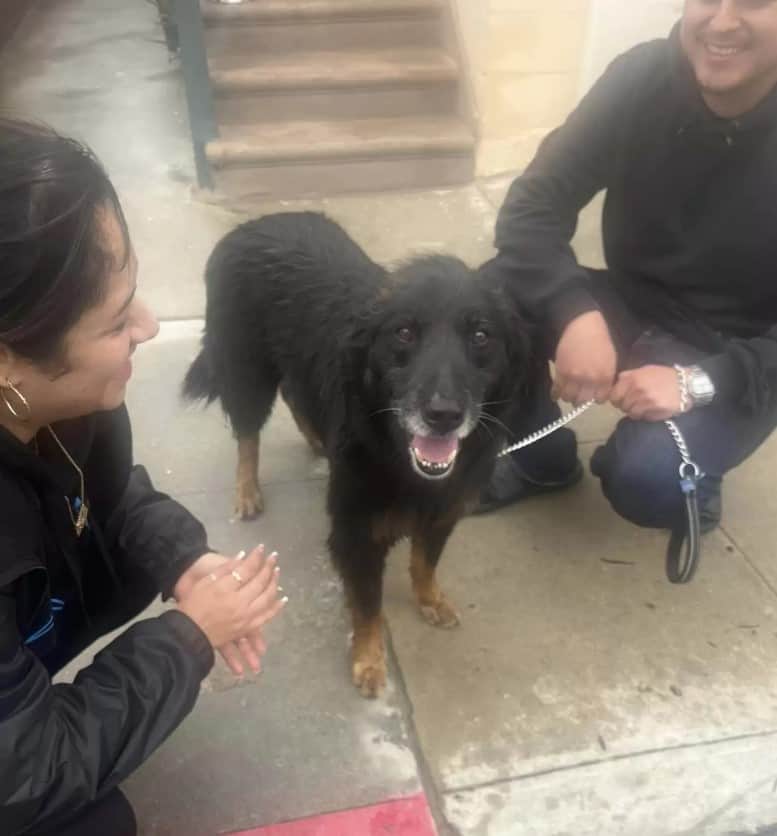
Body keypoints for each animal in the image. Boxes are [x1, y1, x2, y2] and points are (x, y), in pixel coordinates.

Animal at [183, 212, 532, 696]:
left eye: (482, 336)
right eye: (404, 332)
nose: (443, 415)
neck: (398, 454)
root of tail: (253, 224)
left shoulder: (442, 512)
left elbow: (424, 563)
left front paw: (430, 600)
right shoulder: (357, 534)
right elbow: (368, 604)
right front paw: (368, 660)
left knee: (295, 394)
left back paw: (317, 440)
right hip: (247, 371)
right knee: (248, 434)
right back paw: (248, 490)